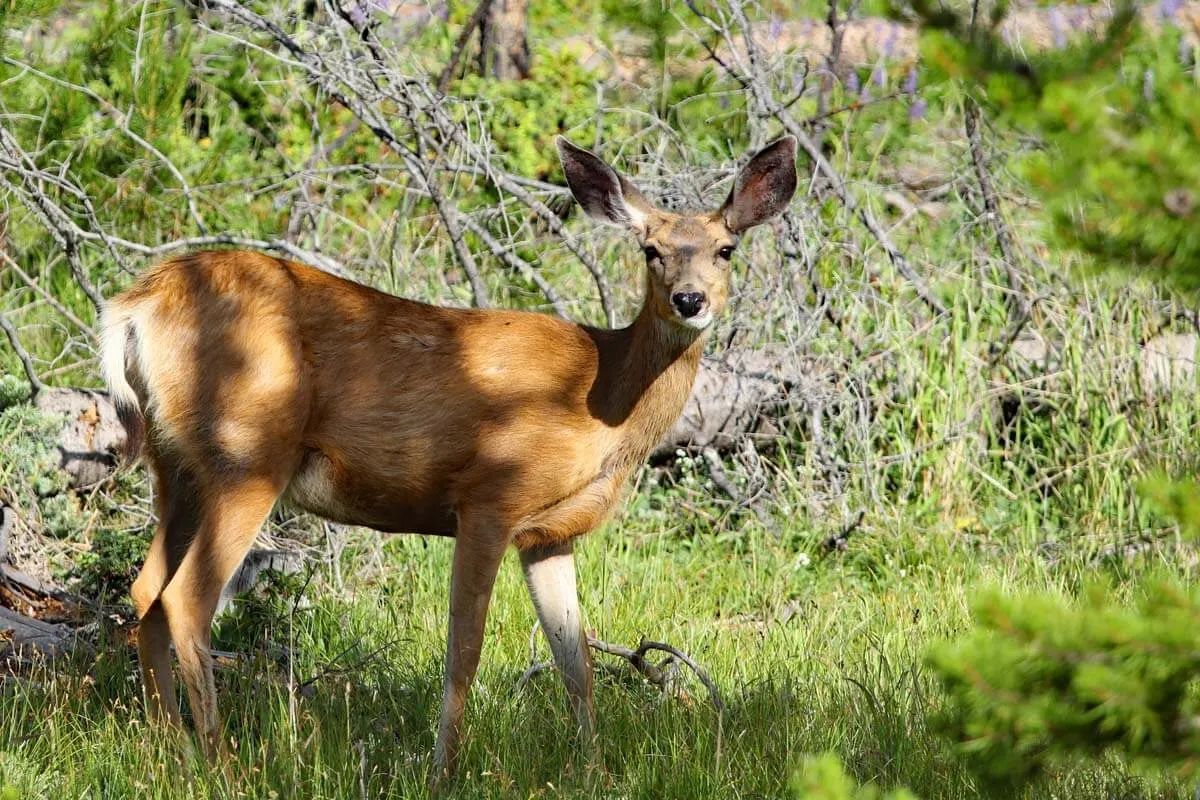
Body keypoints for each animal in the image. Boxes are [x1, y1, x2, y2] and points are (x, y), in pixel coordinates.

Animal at [100, 134, 796, 786]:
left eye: (725, 249)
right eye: (651, 249)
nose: (689, 300)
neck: (600, 403)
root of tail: (134, 308)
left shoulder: (548, 534)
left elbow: (577, 660)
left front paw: (594, 771)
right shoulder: (490, 495)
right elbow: (465, 648)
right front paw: (443, 771)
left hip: (176, 467)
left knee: (146, 591)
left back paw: (170, 753)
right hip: (248, 455)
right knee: (186, 599)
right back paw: (222, 764)